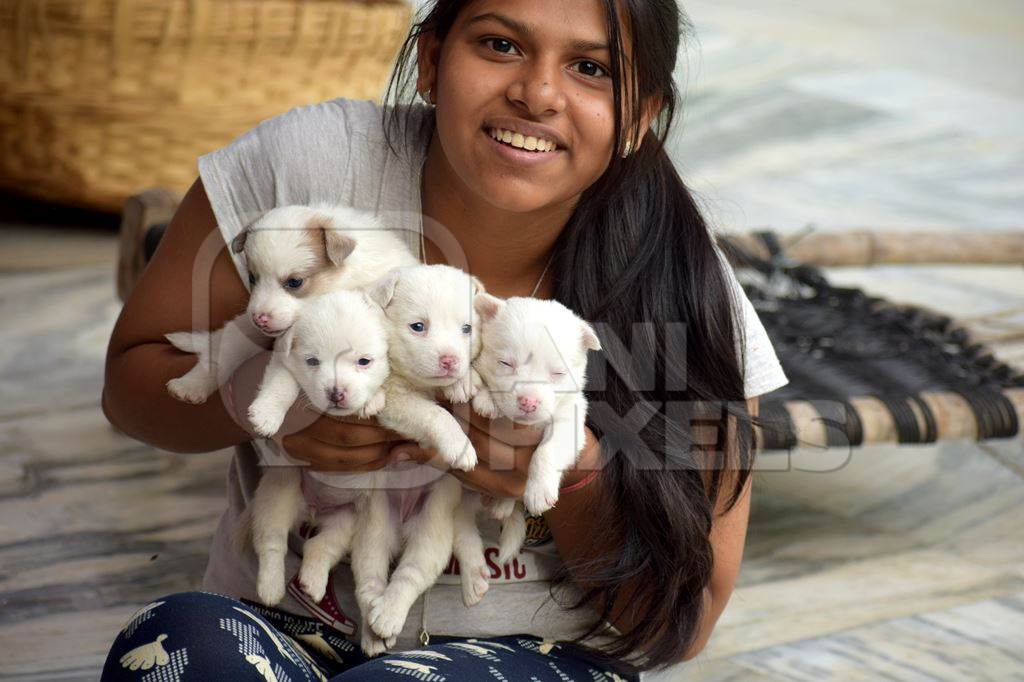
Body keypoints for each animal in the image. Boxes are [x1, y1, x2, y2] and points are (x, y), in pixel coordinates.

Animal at [475, 294, 602, 512]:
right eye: (505, 363)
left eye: (558, 373)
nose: (528, 402)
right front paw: (486, 398)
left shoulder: (570, 419)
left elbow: (547, 450)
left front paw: (539, 491)